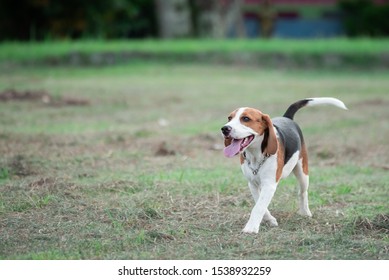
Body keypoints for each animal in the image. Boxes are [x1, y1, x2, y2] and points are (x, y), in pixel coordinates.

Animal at [221, 97, 346, 233]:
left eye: (246, 119)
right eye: (229, 118)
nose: (224, 129)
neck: (256, 155)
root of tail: (287, 117)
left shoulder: (269, 184)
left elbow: (258, 207)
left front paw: (251, 228)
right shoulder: (252, 183)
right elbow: (260, 203)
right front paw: (270, 220)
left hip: (303, 173)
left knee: (303, 192)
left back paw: (305, 212)